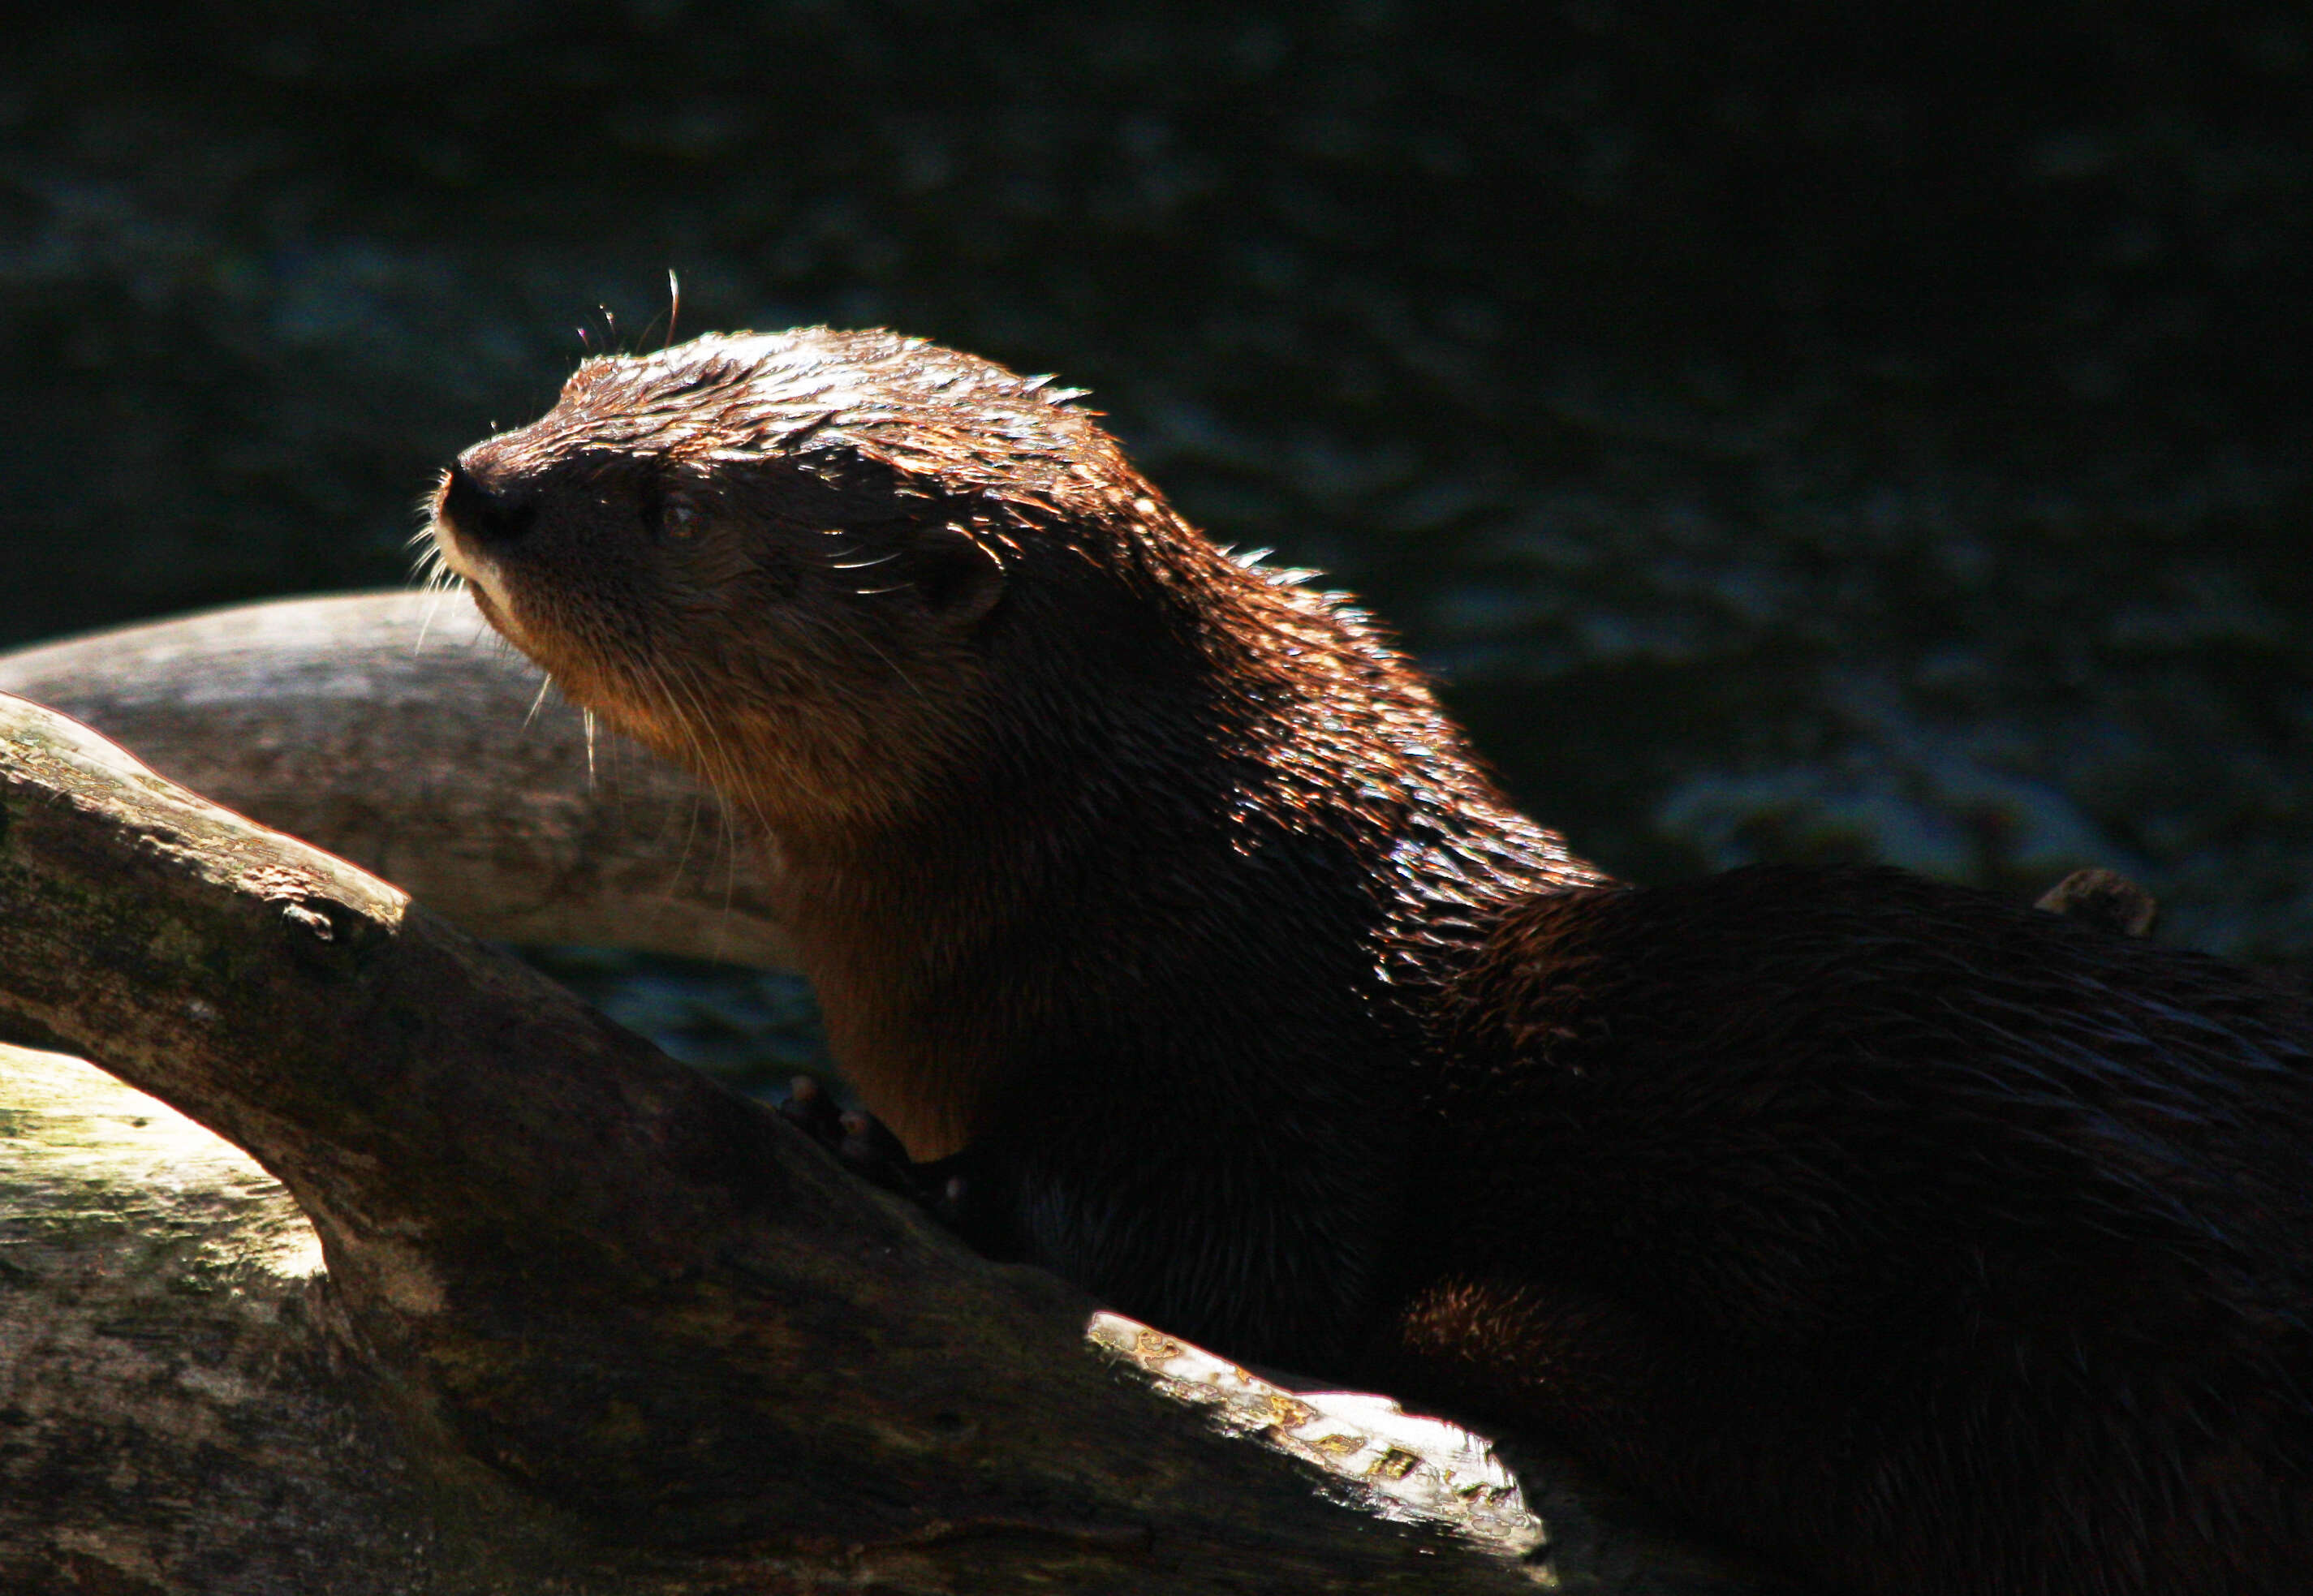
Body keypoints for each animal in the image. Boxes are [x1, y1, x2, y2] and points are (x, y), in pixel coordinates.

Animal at [437, 325, 2313, 1591]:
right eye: (587, 373)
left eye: (670, 507)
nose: (484, 482)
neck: (1134, 851)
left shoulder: (1257, 1038)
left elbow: (1243, 1260)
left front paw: (892, 1161)